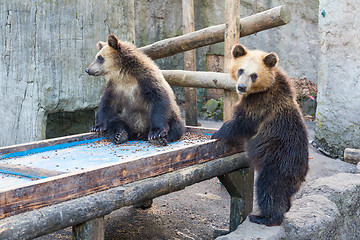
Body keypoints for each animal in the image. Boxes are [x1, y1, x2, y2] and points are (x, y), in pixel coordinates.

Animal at [212, 44, 308, 226]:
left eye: (254, 75)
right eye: (241, 70)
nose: (241, 87)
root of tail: (301, 175)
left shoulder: (261, 103)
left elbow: (242, 123)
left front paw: (217, 133)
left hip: (278, 162)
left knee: (269, 188)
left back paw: (264, 217)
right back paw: (285, 208)